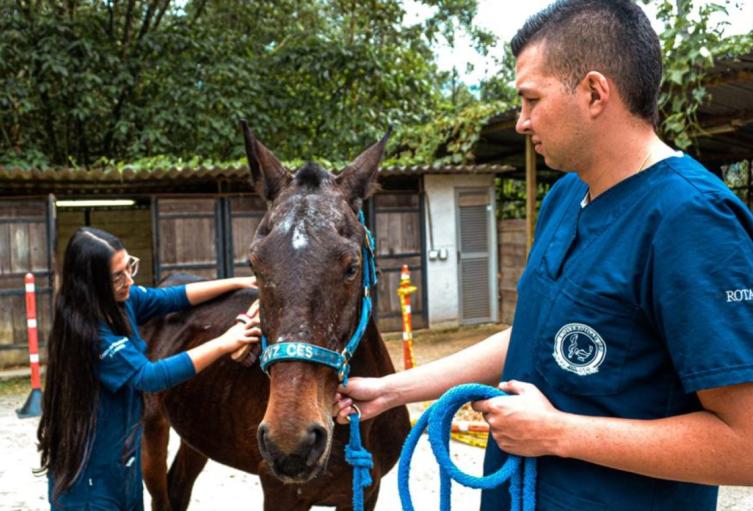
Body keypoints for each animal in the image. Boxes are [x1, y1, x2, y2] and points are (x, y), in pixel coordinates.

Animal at [141, 125, 412, 511]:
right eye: (255, 265)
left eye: (351, 267)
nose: (291, 442)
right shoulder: (281, 493)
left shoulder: (366, 493)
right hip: (151, 430)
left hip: (198, 435)